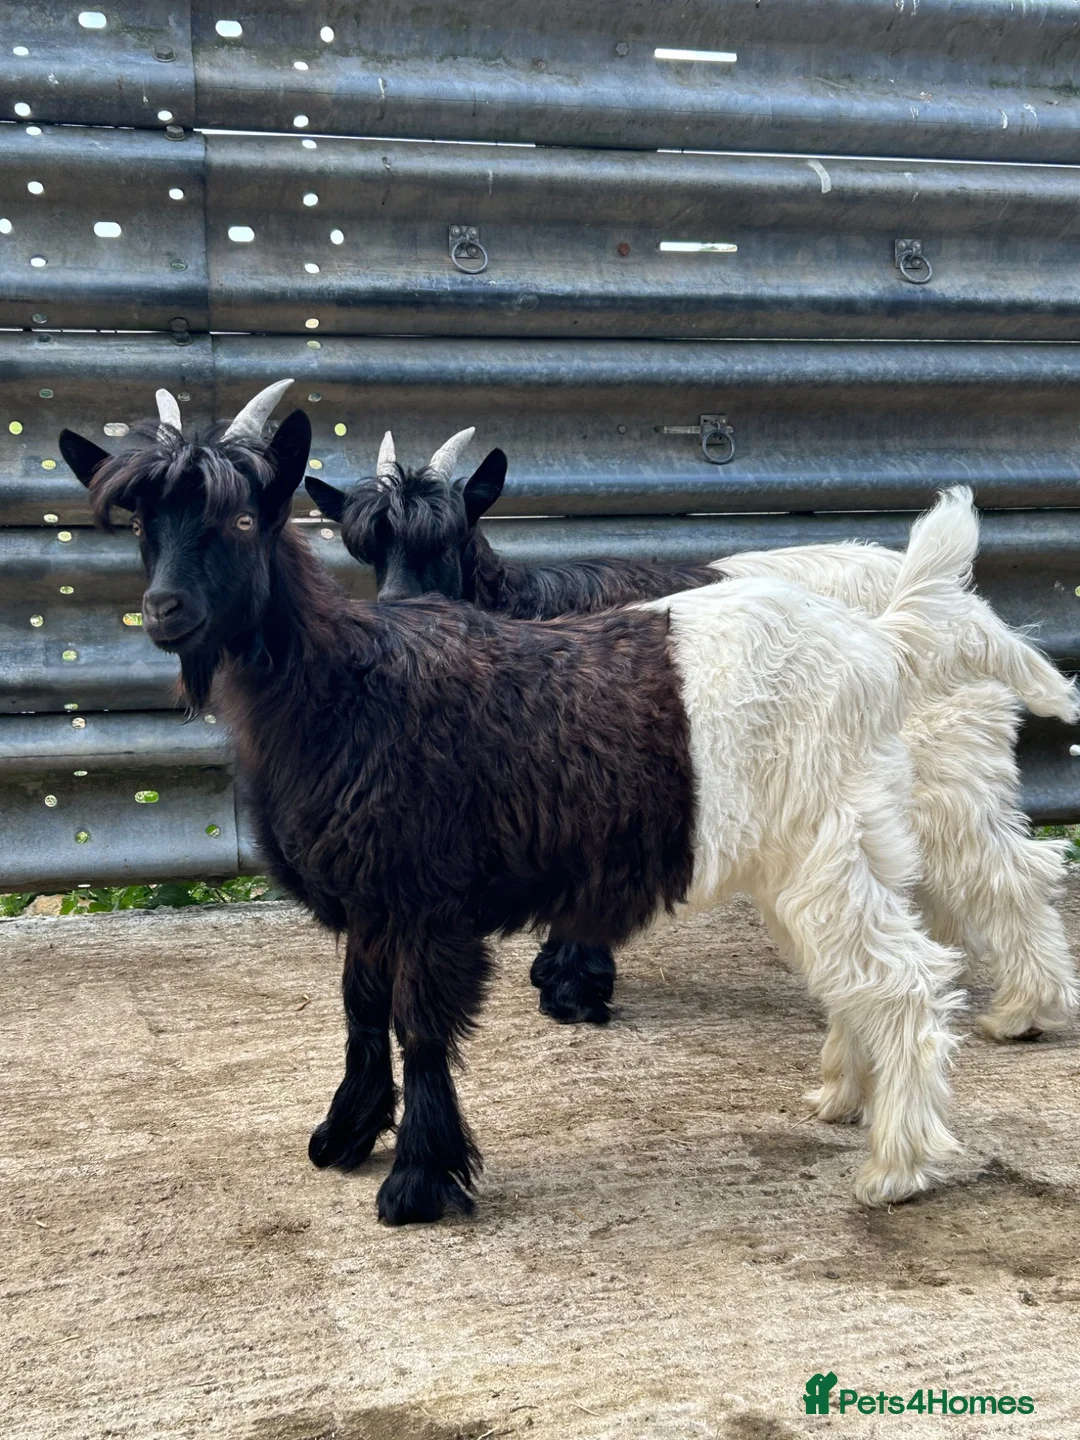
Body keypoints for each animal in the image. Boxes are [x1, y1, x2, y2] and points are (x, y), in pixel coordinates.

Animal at [61, 383, 972, 1225]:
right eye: (142, 525)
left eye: (245, 520)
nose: (165, 610)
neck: (345, 685)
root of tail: (879, 643)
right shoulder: (370, 899)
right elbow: (360, 1008)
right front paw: (347, 1132)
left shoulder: (426, 898)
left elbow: (419, 1025)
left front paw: (418, 1181)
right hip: (804, 858)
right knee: (857, 976)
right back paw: (846, 1102)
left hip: (833, 842)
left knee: (905, 977)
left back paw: (897, 1167)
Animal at [309, 438, 1079, 1046]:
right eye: (367, 545)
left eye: (449, 537)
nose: (399, 617)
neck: (525, 614)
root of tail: (970, 612)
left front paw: (575, 991)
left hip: (939, 762)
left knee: (1014, 869)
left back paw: (1025, 1010)